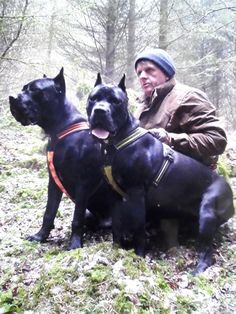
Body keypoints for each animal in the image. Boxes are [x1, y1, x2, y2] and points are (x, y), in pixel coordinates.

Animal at [9, 68, 112, 250]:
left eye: (35, 90)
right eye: (23, 88)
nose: (11, 97)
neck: (61, 129)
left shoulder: (83, 183)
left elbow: (76, 218)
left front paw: (75, 244)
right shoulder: (54, 182)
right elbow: (49, 212)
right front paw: (40, 236)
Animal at [86, 75, 234, 274]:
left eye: (115, 101)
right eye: (93, 98)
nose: (100, 111)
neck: (116, 143)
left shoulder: (137, 194)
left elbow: (139, 229)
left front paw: (138, 255)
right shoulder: (114, 195)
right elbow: (116, 225)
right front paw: (116, 249)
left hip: (208, 211)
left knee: (207, 251)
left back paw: (198, 269)